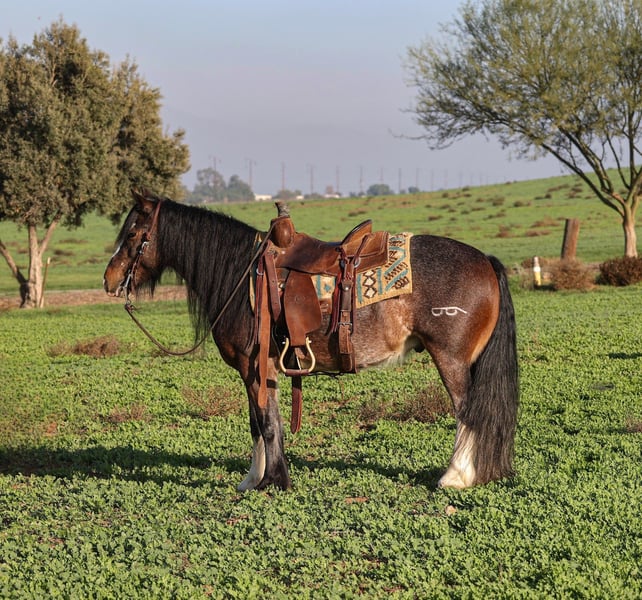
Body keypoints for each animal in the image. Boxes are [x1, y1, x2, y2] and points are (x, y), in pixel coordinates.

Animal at [103, 189, 518, 491]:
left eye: (133, 234)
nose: (109, 280)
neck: (242, 276)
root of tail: (486, 261)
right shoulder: (259, 369)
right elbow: (258, 422)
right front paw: (253, 479)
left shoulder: (254, 365)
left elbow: (267, 422)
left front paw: (274, 481)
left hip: (451, 359)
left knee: (467, 412)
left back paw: (455, 477)